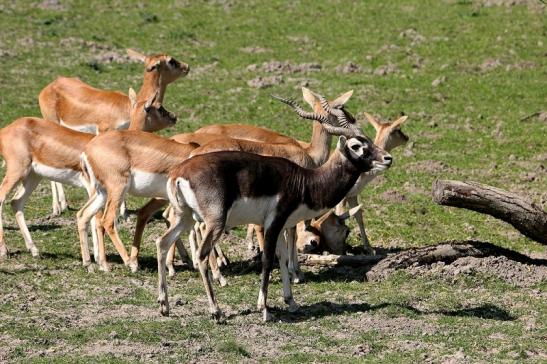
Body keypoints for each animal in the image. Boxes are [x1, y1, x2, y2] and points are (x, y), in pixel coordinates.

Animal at [0, 92, 174, 264]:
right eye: (159, 107)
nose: (174, 117)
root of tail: (6, 130)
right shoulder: (93, 189)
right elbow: (97, 218)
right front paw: (99, 259)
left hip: (33, 176)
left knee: (16, 202)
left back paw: (34, 250)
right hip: (17, 170)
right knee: (2, 197)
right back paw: (5, 250)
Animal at [38, 50, 188, 218]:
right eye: (171, 61)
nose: (186, 67)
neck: (128, 107)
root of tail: (50, 86)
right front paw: (123, 212)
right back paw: (57, 208)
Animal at [156, 134, 392, 322]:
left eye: (368, 140)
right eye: (356, 146)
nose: (387, 158)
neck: (305, 182)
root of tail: (179, 173)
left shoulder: (281, 226)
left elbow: (283, 258)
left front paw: (291, 302)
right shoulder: (273, 223)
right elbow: (268, 260)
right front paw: (264, 309)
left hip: (183, 217)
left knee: (162, 242)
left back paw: (164, 306)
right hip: (214, 222)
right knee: (201, 256)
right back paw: (216, 311)